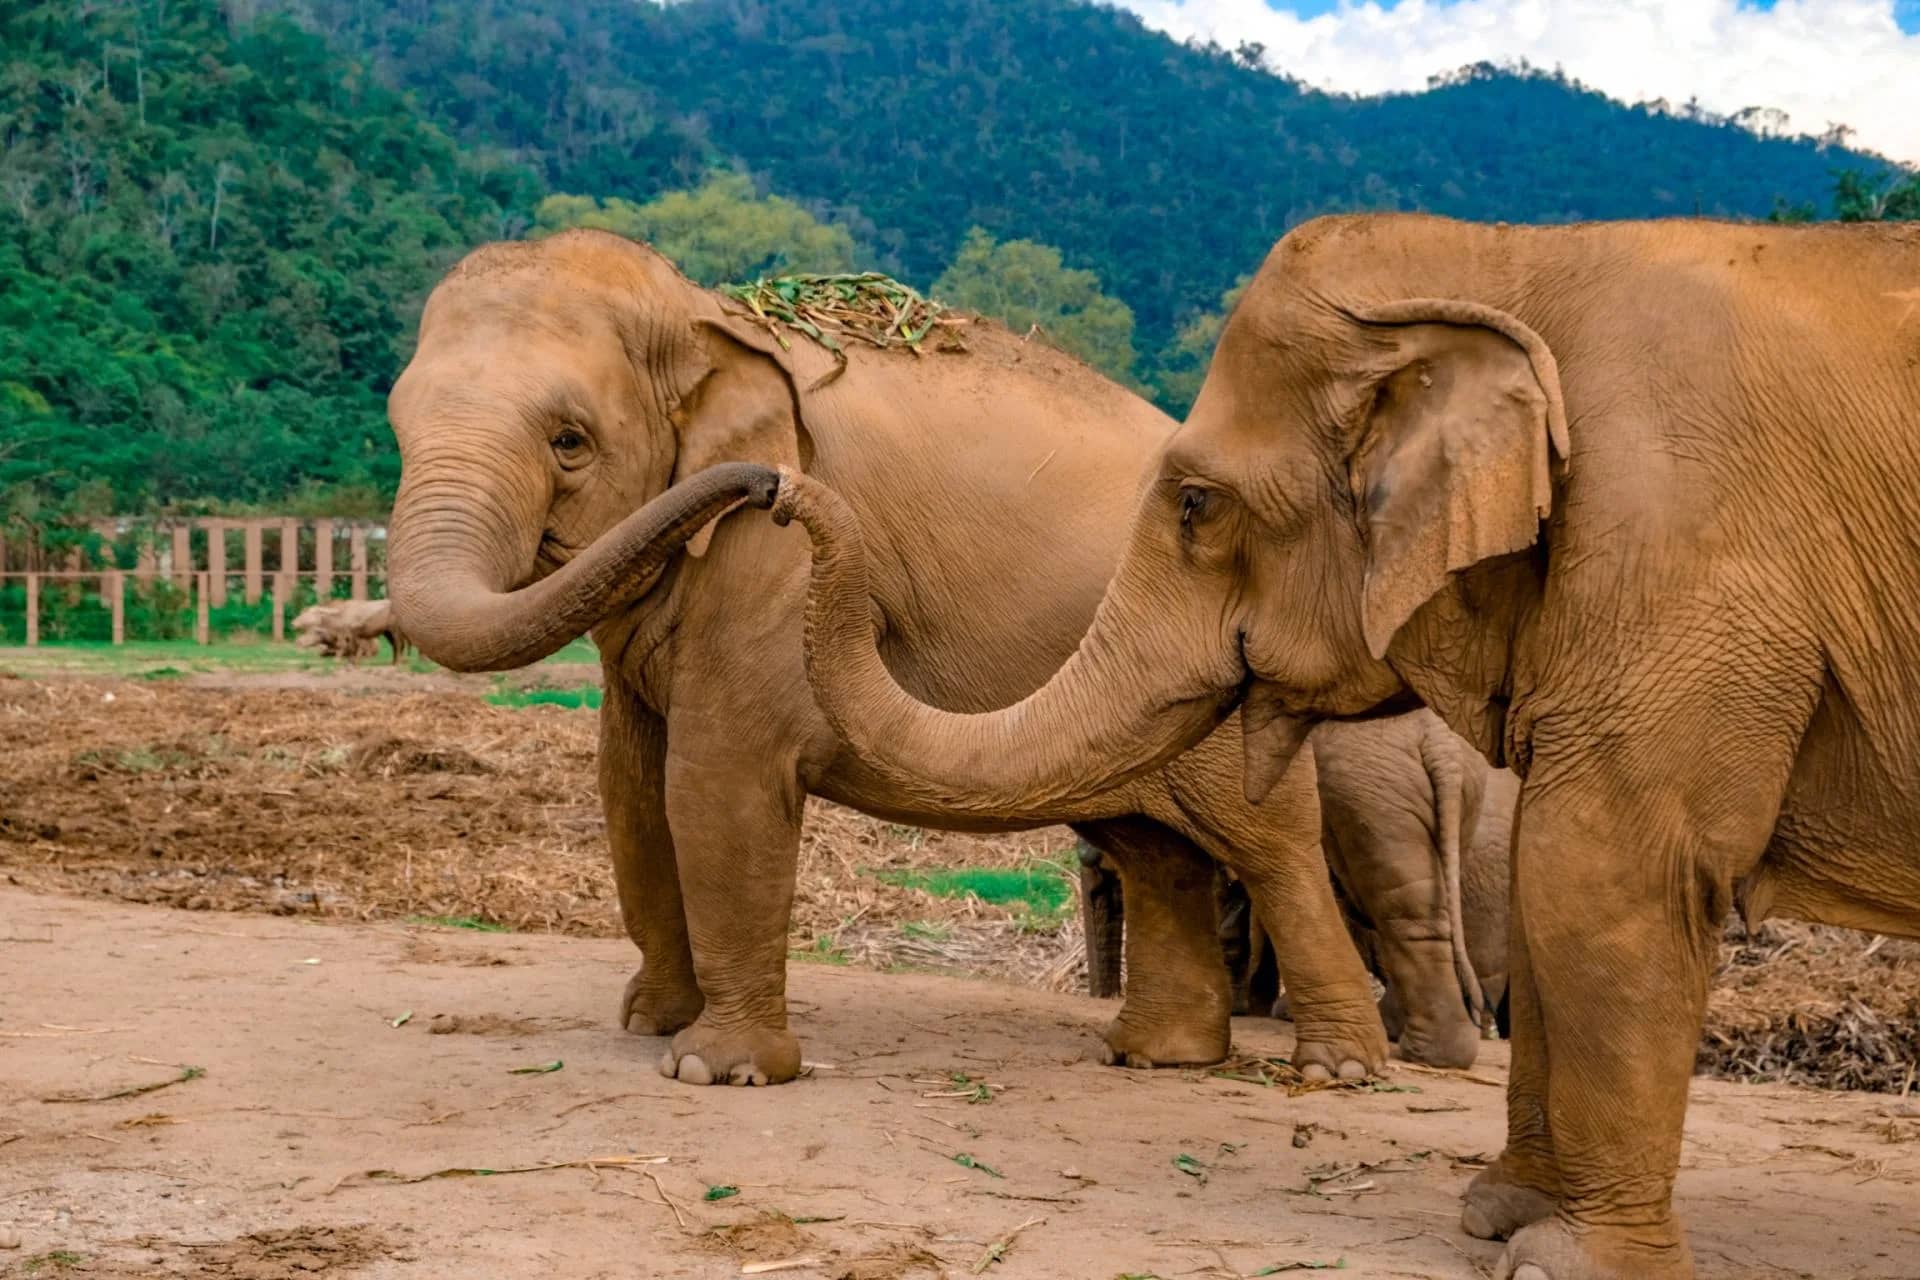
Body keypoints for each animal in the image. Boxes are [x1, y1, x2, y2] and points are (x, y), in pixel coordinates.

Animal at [381, 228, 1387, 1090]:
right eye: (396, 428)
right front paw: (652, 1024)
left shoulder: (764, 571)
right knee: (1149, 848)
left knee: (1268, 847)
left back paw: (1338, 1069)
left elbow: (717, 782)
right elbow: (629, 788)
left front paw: (716, 1069)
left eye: (569, 442)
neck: (711, 316)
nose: (777, 489)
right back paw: (1157, 1056)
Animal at [765, 214, 1920, 1278]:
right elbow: (1551, 874)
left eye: (1196, 504)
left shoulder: (1684, 559)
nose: (770, 486)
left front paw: (1559, 1260)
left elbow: (1606, 870)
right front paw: (1496, 1215)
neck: (1518, 255)